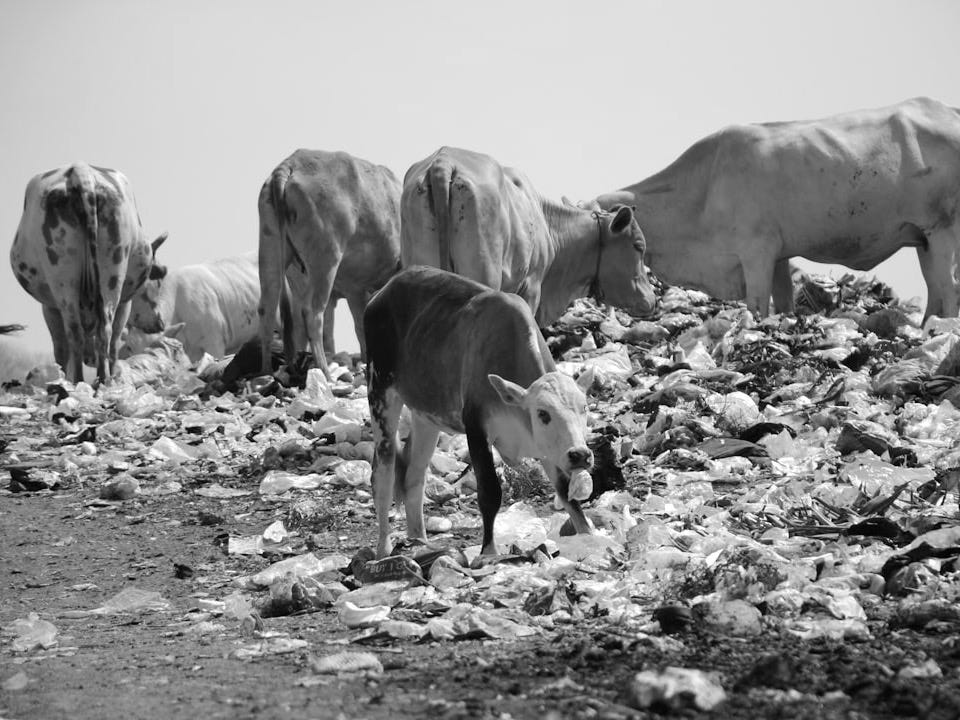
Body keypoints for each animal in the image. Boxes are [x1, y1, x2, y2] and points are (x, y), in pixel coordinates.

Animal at [10, 163, 167, 383]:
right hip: (109, 275)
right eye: (156, 284)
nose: (160, 323)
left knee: (81, 333)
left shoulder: (49, 307)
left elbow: (62, 349)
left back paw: (82, 380)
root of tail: (80, 171)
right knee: (102, 332)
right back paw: (100, 379)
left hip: (65, 280)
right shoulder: (124, 304)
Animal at [257, 149, 401, 380]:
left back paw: (266, 371)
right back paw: (325, 372)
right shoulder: (356, 286)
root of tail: (289, 165)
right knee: (312, 312)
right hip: (325, 259)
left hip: (271, 246)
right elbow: (360, 326)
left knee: (268, 308)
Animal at [365, 265, 596, 559]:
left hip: (426, 415)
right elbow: (489, 492)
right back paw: (384, 548)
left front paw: (588, 535)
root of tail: (383, 292)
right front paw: (488, 552)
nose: (581, 455)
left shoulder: (549, 449)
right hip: (380, 394)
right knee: (383, 475)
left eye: (584, 408)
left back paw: (420, 541)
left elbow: (566, 493)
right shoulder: (476, 427)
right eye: (543, 414)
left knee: (413, 476)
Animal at [592, 97, 960, 320]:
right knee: (936, 290)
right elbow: (783, 304)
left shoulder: (756, 251)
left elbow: (757, 305)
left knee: (949, 289)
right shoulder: (779, 254)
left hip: (943, 230)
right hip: (924, 238)